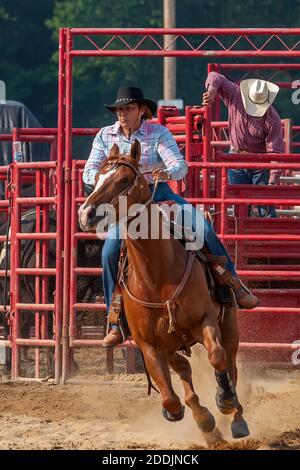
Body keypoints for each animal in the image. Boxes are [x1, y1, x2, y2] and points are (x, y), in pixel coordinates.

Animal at [78, 141, 250, 438]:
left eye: (124, 179)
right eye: (97, 177)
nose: (86, 214)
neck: (157, 276)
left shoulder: (207, 321)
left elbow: (217, 358)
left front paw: (224, 400)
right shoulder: (149, 345)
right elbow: (169, 396)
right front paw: (191, 415)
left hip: (229, 325)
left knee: (230, 364)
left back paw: (236, 417)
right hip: (172, 345)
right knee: (183, 370)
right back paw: (205, 422)